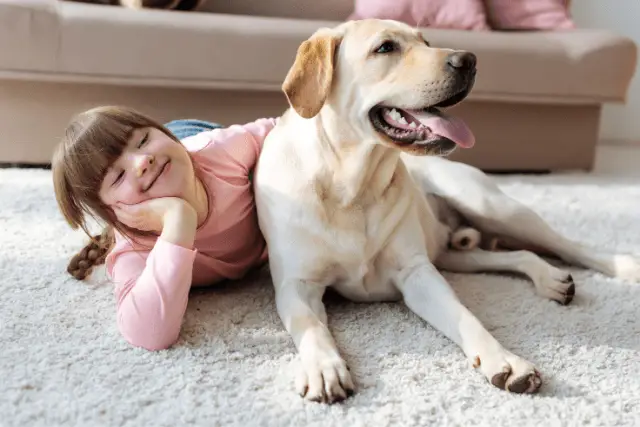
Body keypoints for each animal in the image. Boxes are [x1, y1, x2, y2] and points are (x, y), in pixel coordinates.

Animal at [254, 17, 640, 404]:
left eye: (426, 41)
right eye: (385, 47)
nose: (468, 60)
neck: (352, 187)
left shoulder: (418, 273)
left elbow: (465, 317)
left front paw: (505, 360)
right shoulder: (296, 286)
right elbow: (311, 325)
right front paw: (323, 367)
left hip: (491, 207)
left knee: (566, 245)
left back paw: (622, 265)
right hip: (452, 253)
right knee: (519, 254)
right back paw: (548, 277)